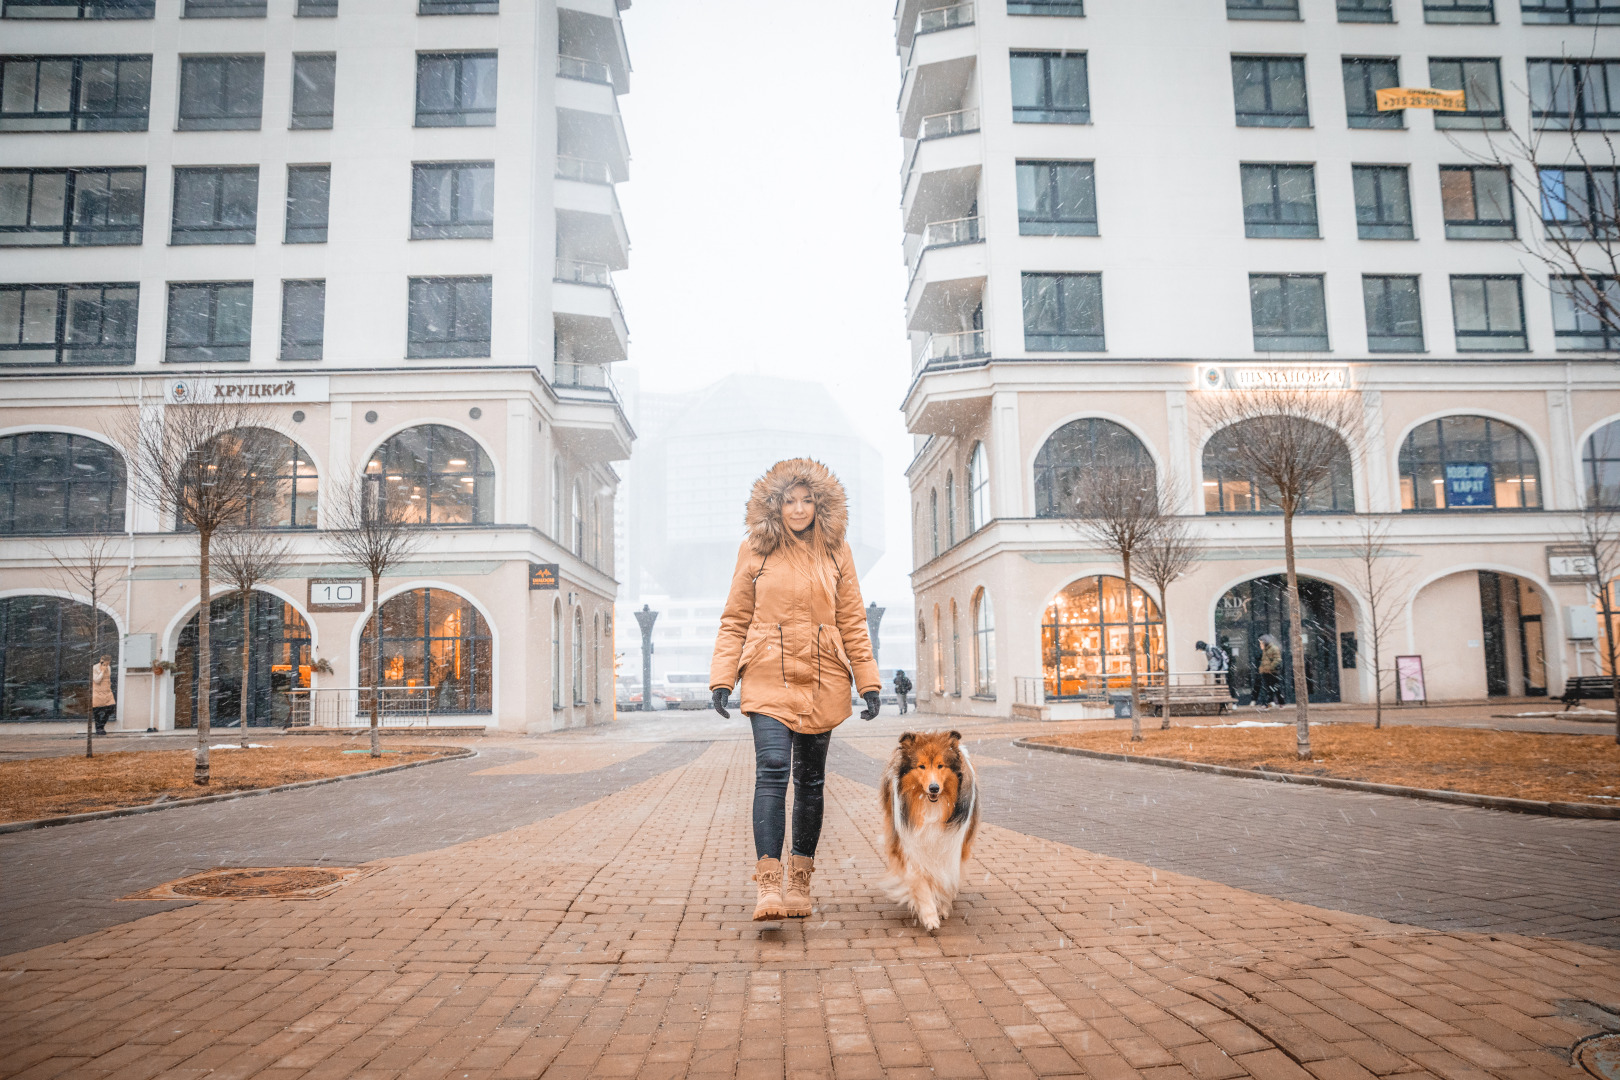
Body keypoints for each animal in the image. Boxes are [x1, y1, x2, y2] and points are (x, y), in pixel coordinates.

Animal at [881, 731, 978, 932]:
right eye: (921, 766)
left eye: (941, 765)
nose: (934, 788)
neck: (932, 806)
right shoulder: (909, 845)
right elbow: (920, 883)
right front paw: (930, 916)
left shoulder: (953, 844)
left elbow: (946, 879)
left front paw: (942, 906)